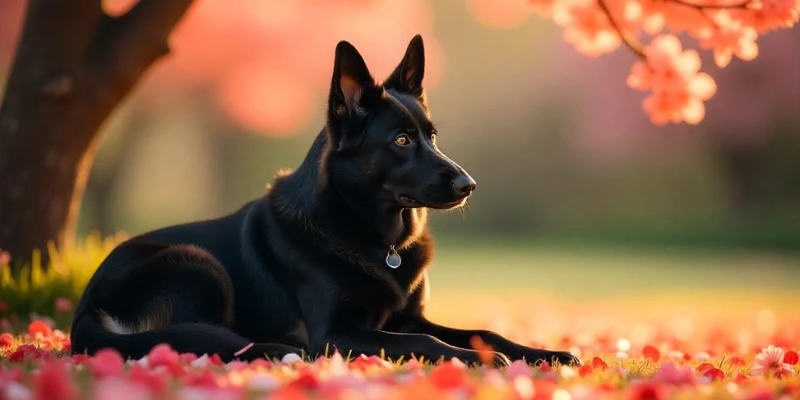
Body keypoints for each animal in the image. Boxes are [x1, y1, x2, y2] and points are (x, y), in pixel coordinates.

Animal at [70, 36, 580, 368]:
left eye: (432, 137)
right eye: (400, 140)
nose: (468, 185)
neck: (374, 238)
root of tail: (86, 310)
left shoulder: (408, 319)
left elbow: (486, 331)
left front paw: (547, 354)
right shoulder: (337, 333)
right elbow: (433, 343)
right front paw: (476, 360)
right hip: (196, 262)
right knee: (202, 342)